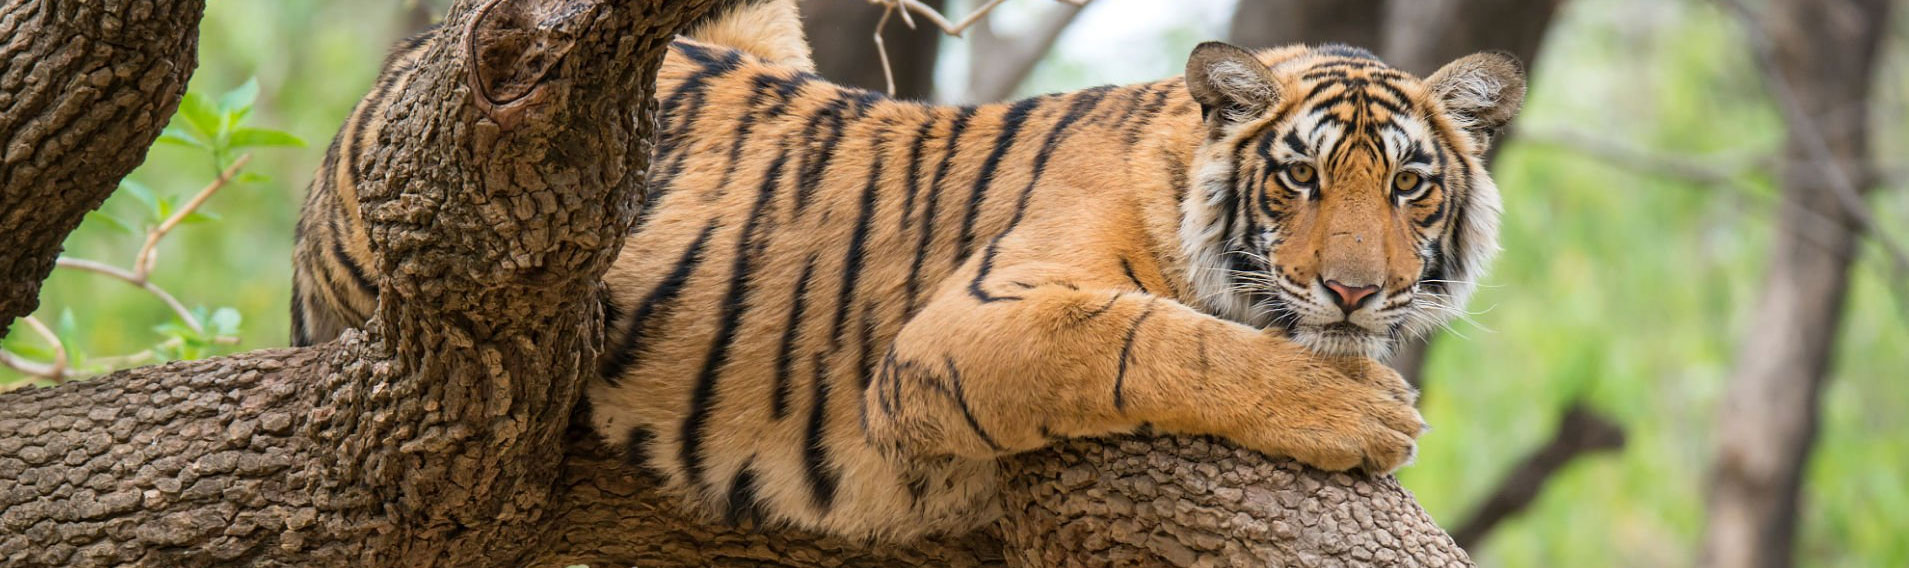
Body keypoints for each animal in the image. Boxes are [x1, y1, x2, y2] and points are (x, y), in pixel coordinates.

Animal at [292, 0, 1523, 543]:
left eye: (1409, 187)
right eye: (1299, 180)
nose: (1355, 293)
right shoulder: (967, 326)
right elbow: (1158, 340)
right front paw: (1361, 411)